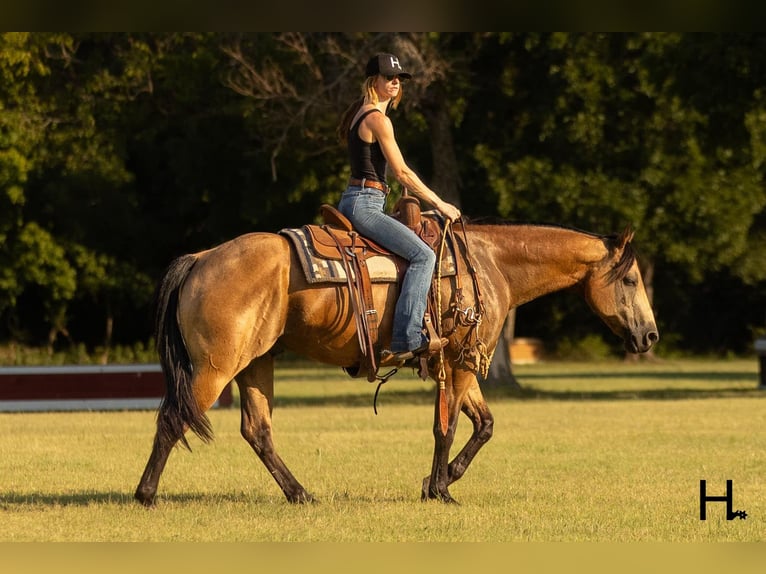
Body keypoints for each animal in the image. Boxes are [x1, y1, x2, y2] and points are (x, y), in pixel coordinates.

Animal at [134, 220, 658, 505]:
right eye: (631, 279)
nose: (650, 335)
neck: (489, 265)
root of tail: (202, 257)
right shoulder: (459, 363)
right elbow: (447, 425)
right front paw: (440, 489)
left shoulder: (460, 361)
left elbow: (484, 425)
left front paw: (438, 479)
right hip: (216, 368)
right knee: (173, 419)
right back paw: (146, 495)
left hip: (255, 365)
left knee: (256, 431)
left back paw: (301, 493)